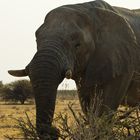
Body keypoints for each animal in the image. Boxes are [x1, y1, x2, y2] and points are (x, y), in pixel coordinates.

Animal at [8, 0, 140, 139]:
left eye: (77, 45)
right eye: (36, 39)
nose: (55, 130)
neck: (86, 8)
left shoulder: (124, 61)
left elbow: (105, 111)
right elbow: (88, 108)